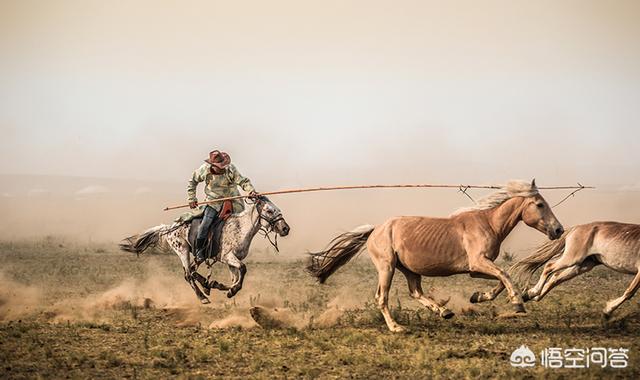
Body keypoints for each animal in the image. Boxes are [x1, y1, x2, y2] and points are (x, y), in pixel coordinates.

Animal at [120, 197, 290, 304]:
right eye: (269, 211)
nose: (285, 229)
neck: (241, 228)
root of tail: (168, 228)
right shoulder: (228, 257)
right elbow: (243, 269)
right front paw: (230, 290)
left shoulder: (231, 261)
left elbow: (235, 278)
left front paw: (227, 289)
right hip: (183, 250)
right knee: (188, 274)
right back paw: (202, 297)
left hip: (198, 256)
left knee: (193, 271)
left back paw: (208, 285)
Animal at [308, 180, 564, 332]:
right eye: (539, 204)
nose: (558, 230)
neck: (488, 223)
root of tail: (375, 230)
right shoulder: (478, 263)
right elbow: (505, 275)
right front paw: (518, 304)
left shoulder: (476, 269)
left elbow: (502, 278)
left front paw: (478, 297)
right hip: (386, 267)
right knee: (382, 297)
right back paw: (397, 327)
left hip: (409, 270)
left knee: (415, 292)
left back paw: (444, 311)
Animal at [510, 221, 640, 320]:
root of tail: (575, 228)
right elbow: (630, 292)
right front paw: (607, 311)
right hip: (572, 258)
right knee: (549, 267)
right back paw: (533, 292)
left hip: (584, 265)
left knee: (556, 277)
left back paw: (530, 296)